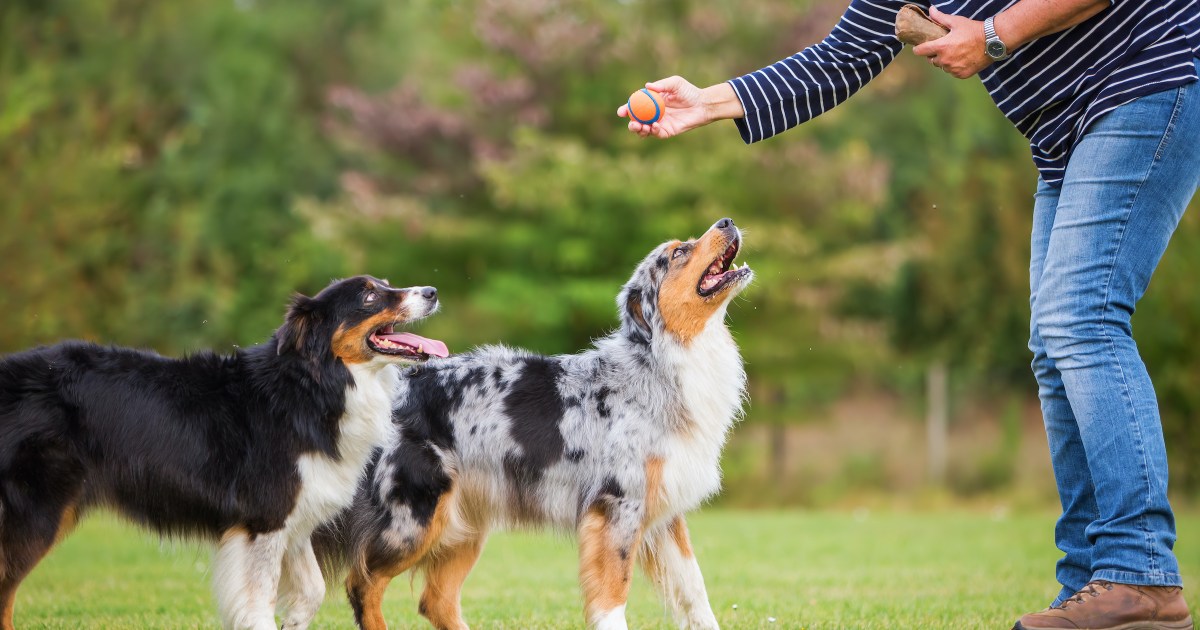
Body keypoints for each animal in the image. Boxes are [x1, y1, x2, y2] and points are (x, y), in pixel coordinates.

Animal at [0, 276, 448, 628]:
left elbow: (313, 591)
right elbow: (259, 604)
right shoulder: (264, 520)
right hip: (35, 514)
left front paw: (293, 622)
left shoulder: (296, 516)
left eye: (385, 283)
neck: (312, 385)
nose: (432, 291)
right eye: (370, 296)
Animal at [314, 217, 753, 628]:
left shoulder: (664, 514)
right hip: (413, 518)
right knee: (363, 582)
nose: (727, 221)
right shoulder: (616, 508)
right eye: (678, 253)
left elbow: (694, 591)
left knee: (434, 600)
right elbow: (613, 597)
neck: (661, 362)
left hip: (464, 524)